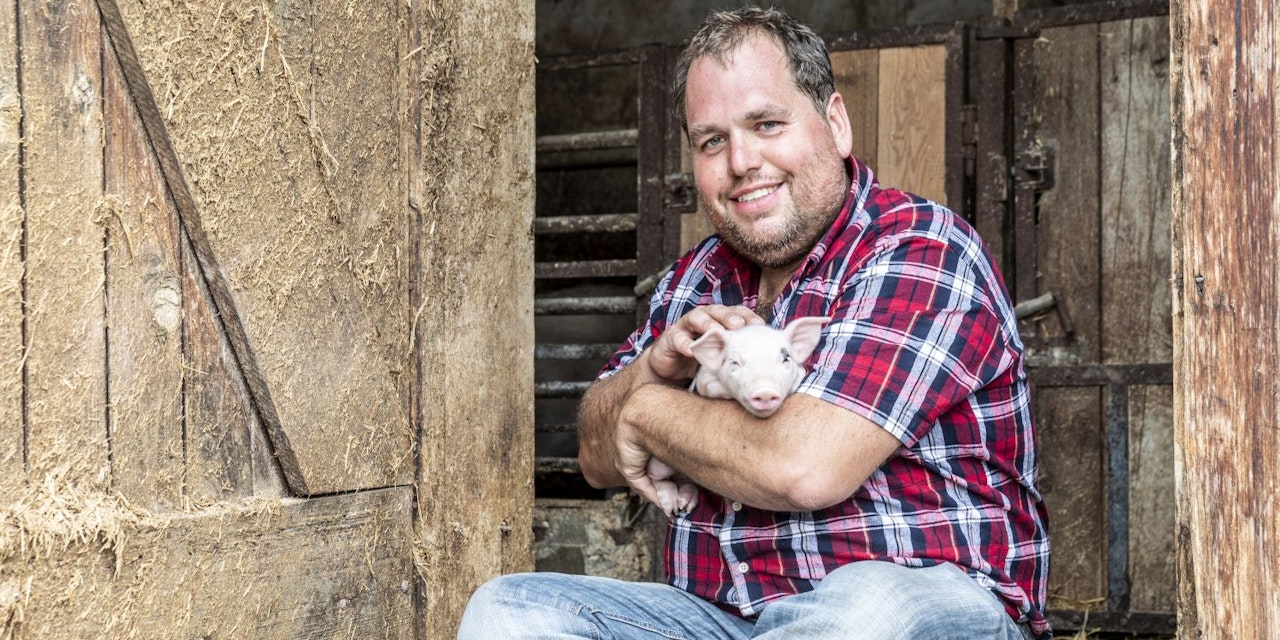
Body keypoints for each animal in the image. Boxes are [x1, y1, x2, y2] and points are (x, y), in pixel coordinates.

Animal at [646, 316, 832, 517]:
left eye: (785, 358)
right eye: (734, 362)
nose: (764, 391)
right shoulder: (704, 379)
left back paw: (685, 504)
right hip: (659, 464)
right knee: (656, 478)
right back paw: (672, 508)